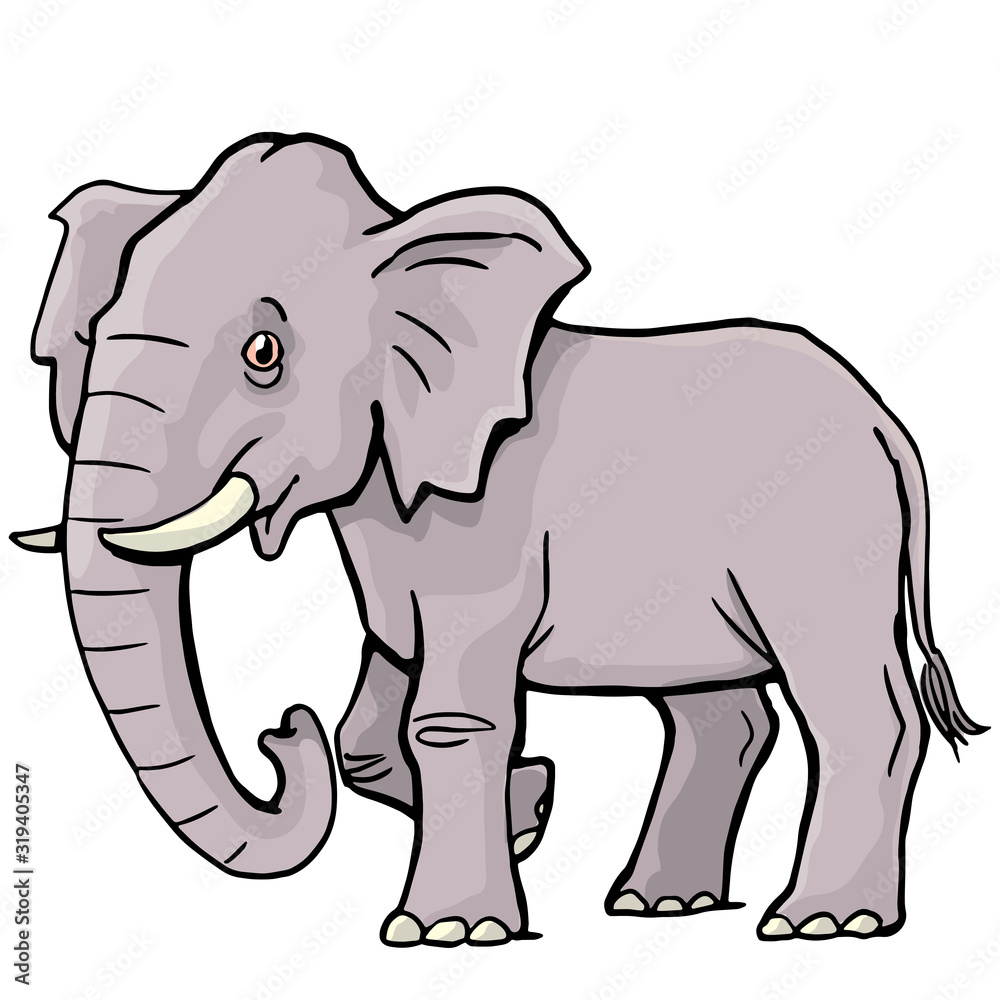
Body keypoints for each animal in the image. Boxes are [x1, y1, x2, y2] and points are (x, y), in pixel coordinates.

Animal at [13, 132, 986, 948]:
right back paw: (659, 905)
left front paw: (442, 933)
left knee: (855, 704)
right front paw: (530, 809)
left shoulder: (478, 527)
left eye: (263, 355)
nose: (281, 733)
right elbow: (372, 727)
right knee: (721, 713)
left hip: (824, 535)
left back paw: (824, 923)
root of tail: (886, 420)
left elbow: (445, 715)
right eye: (93, 335)